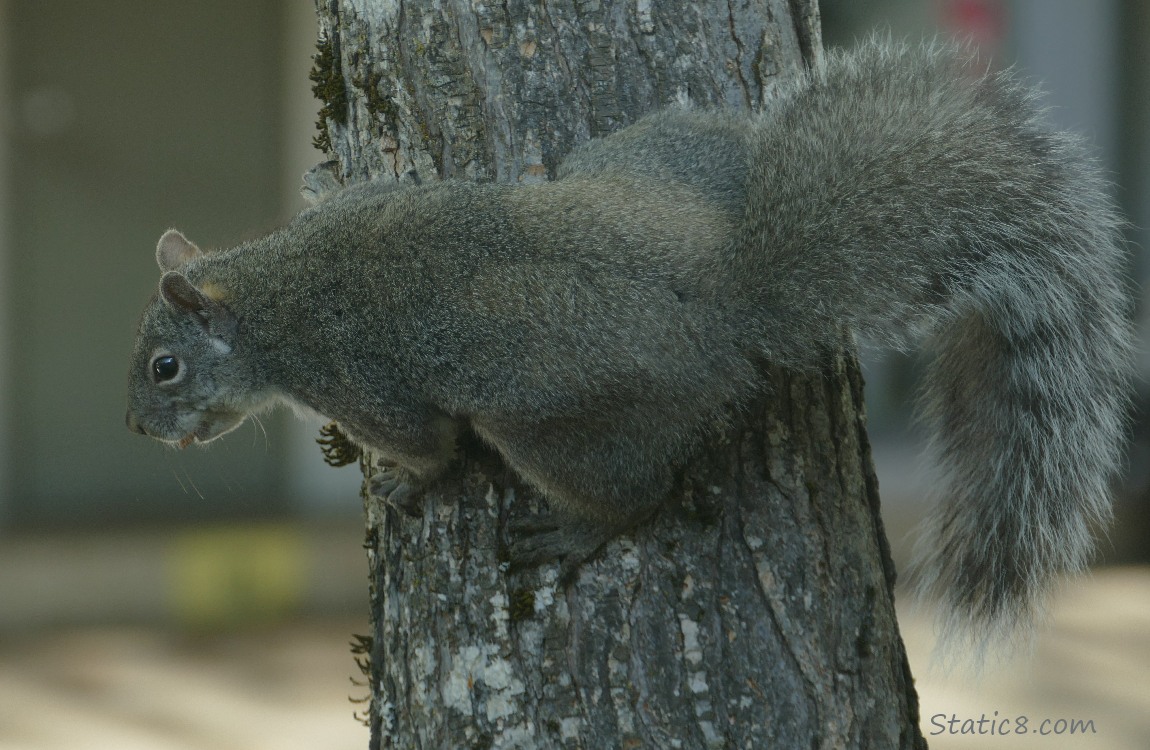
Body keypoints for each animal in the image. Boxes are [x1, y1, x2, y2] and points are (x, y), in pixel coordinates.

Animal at [125, 41, 1131, 648]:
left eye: (163, 368)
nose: (138, 431)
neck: (269, 292)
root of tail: (728, 302)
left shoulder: (357, 379)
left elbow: (429, 444)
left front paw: (405, 485)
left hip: (554, 417)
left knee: (636, 491)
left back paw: (575, 527)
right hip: (656, 160)